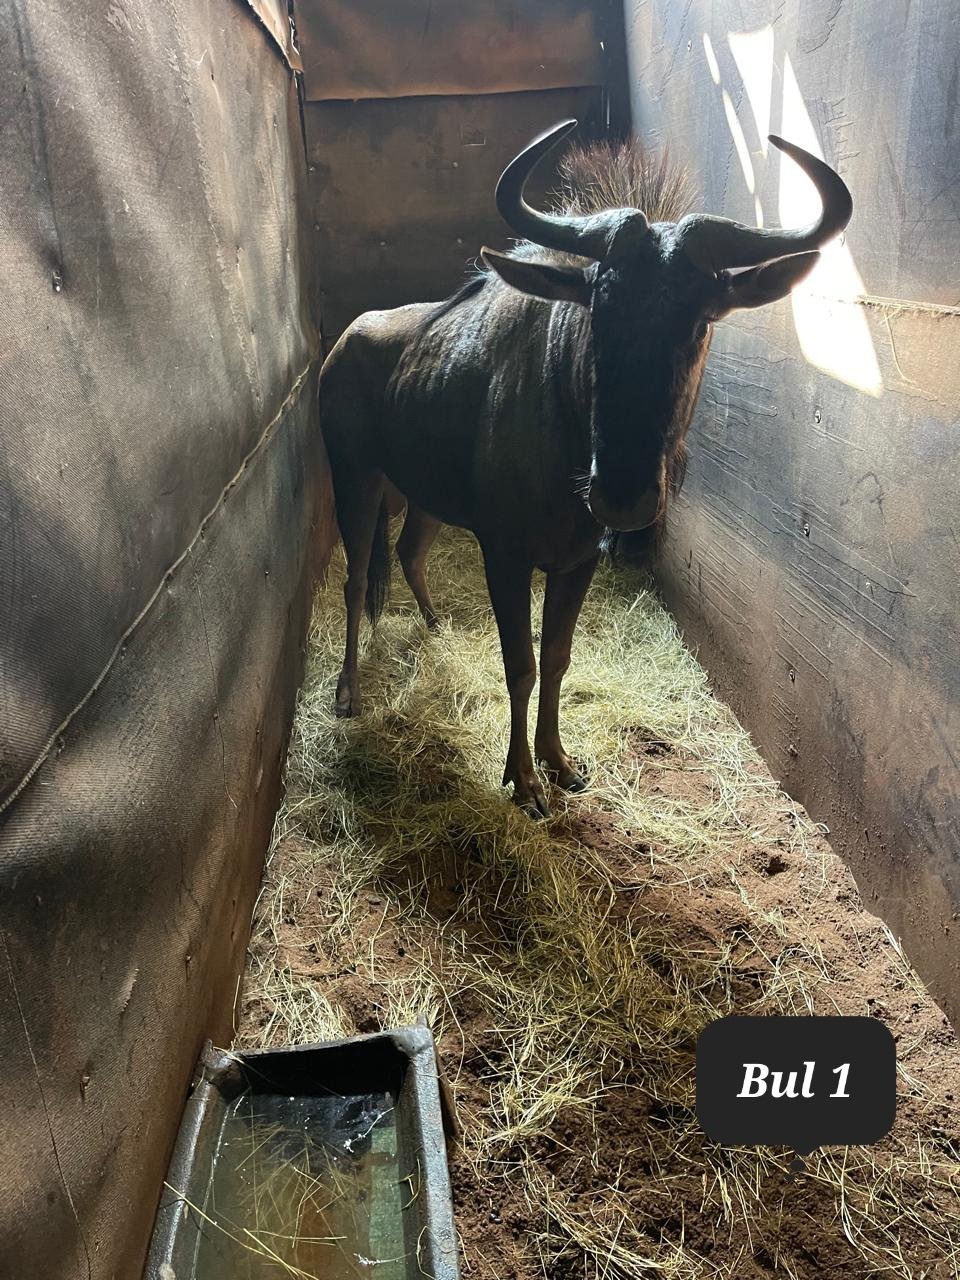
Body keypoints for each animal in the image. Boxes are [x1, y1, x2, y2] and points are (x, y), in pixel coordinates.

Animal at [319, 119, 852, 817]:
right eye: (600, 310)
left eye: (699, 320)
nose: (621, 497)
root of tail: (344, 341)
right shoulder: (506, 556)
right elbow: (520, 664)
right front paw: (522, 780)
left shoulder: (578, 560)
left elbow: (558, 657)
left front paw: (558, 761)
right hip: (353, 480)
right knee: (356, 579)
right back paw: (348, 692)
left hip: (422, 495)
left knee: (409, 552)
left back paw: (437, 630)